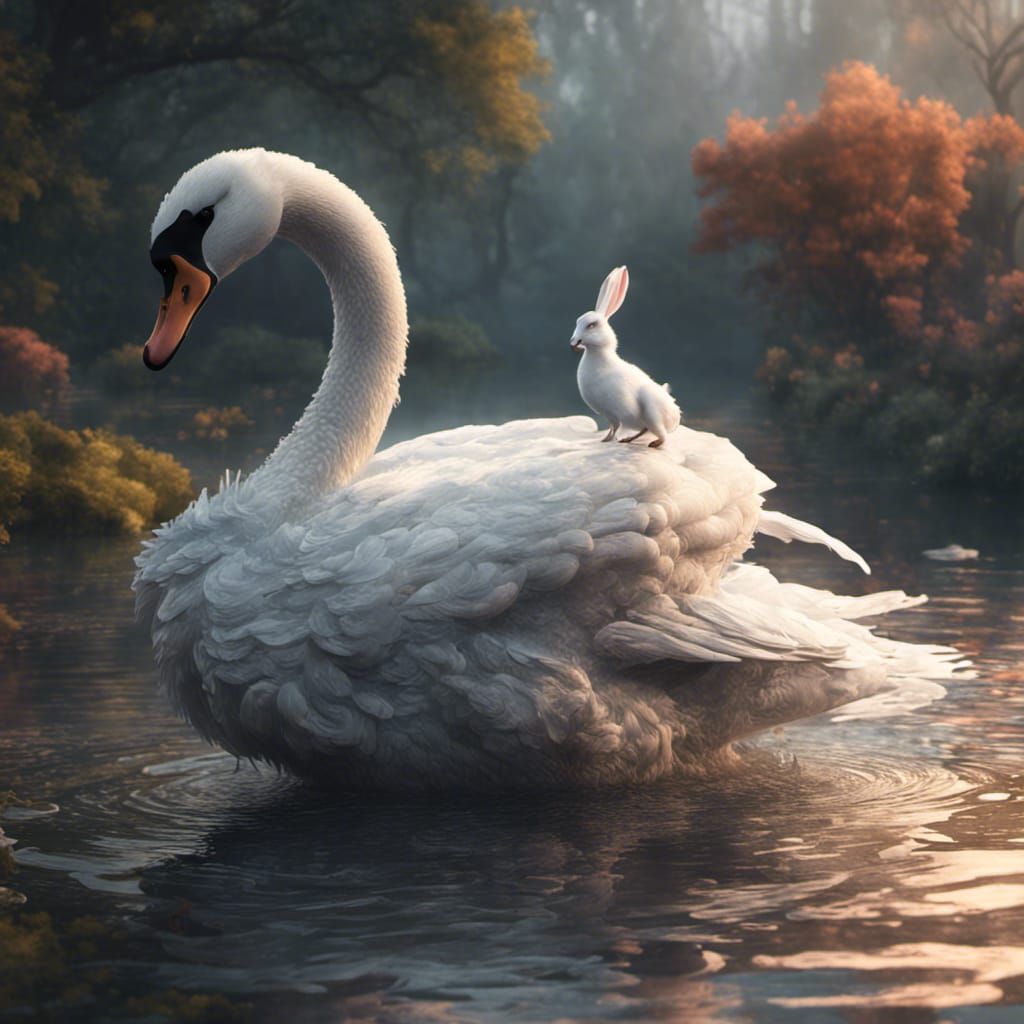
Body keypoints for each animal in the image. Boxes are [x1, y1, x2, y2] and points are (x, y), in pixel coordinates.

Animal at [570, 266, 681, 447]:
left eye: (592, 325)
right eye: (577, 322)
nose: (573, 343)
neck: (598, 358)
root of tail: (675, 414)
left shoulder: (619, 413)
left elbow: (617, 427)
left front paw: (608, 440)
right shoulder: (610, 415)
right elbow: (611, 428)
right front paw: (604, 440)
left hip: (652, 412)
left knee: (662, 436)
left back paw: (653, 443)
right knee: (644, 430)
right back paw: (628, 439)